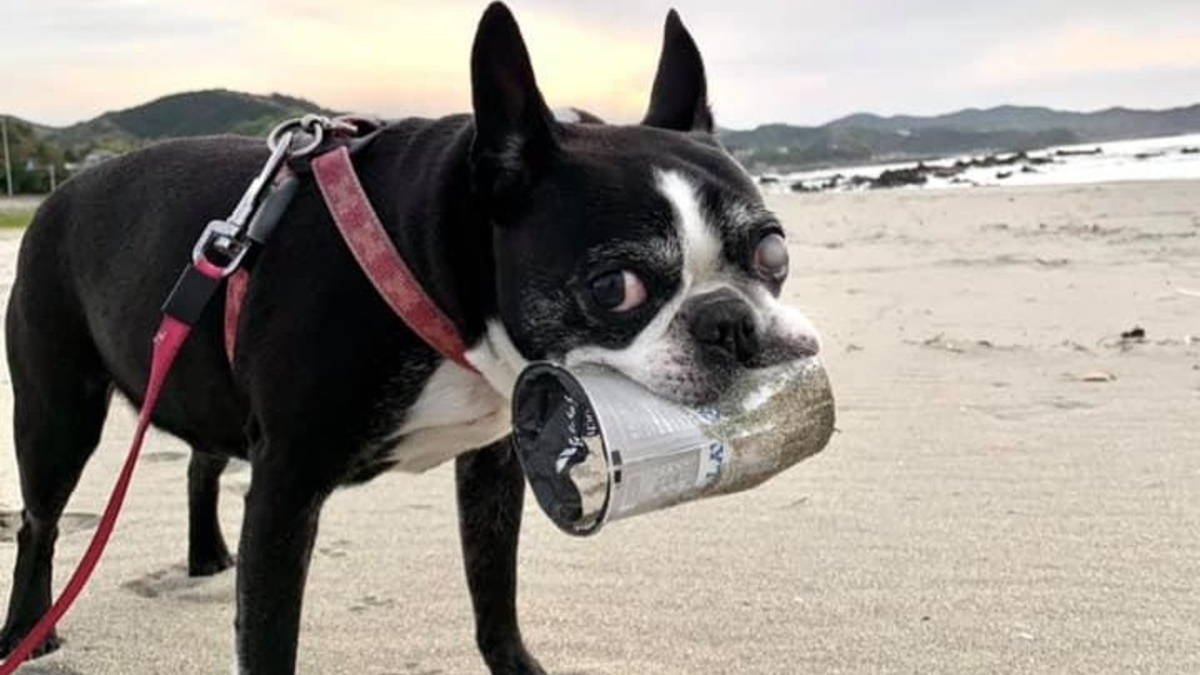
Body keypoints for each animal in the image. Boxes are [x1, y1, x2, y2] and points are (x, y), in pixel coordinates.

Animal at [0, 2, 820, 667]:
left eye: (774, 253)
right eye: (614, 287)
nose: (730, 321)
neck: (428, 266)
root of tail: (59, 194)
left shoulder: (492, 462)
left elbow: (495, 596)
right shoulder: (286, 486)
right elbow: (268, 639)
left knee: (203, 459)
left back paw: (206, 556)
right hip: (57, 410)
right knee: (40, 521)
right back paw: (29, 632)